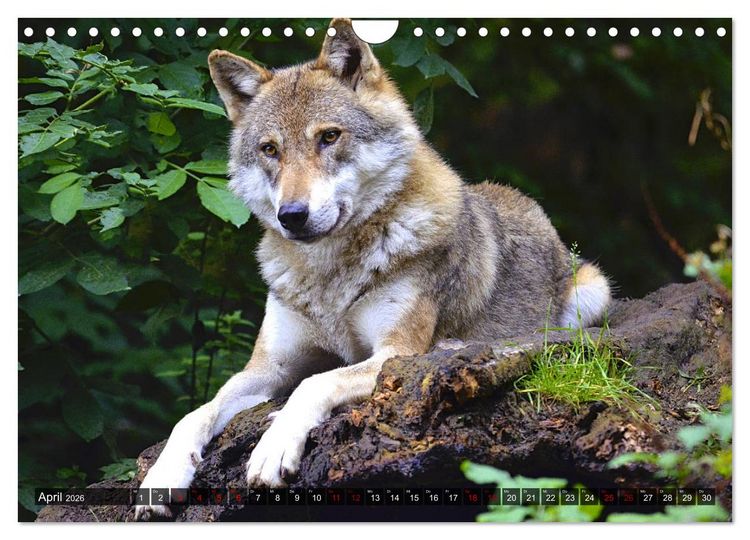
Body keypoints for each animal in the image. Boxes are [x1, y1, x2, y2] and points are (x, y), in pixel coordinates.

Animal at [135, 18, 611, 519]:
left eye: (329, 137)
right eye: (270, 149)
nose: (292, 215)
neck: (329, 276)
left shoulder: (393, 354)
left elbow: (314, 383)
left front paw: (273, 446)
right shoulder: (268, 367)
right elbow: (196, 413)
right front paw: (163, 475)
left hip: (591, 292)